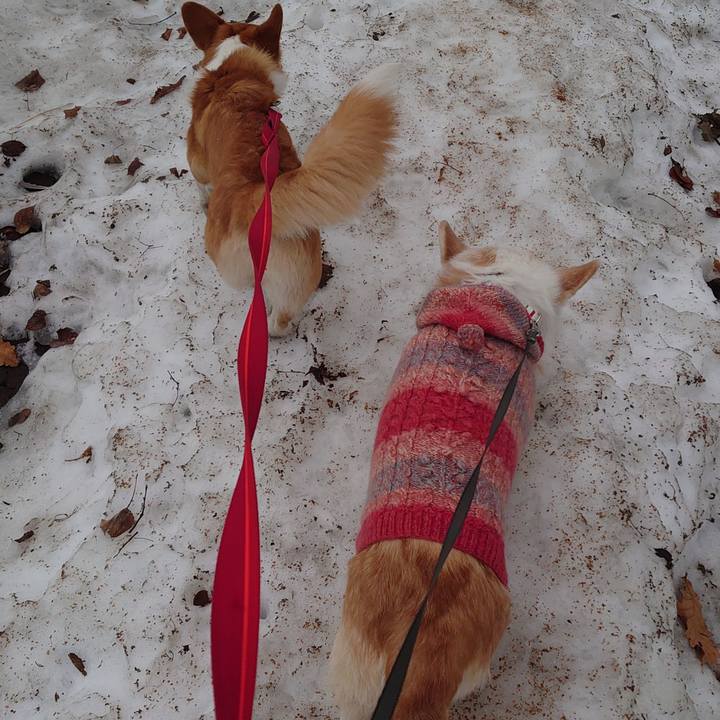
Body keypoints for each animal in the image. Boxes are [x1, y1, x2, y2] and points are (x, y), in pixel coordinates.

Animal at [181, 2, 398, 336]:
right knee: (282, 320)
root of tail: (256, 198)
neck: (232, 72)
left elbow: (199, 183)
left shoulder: (197, 160)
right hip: (299, 276)